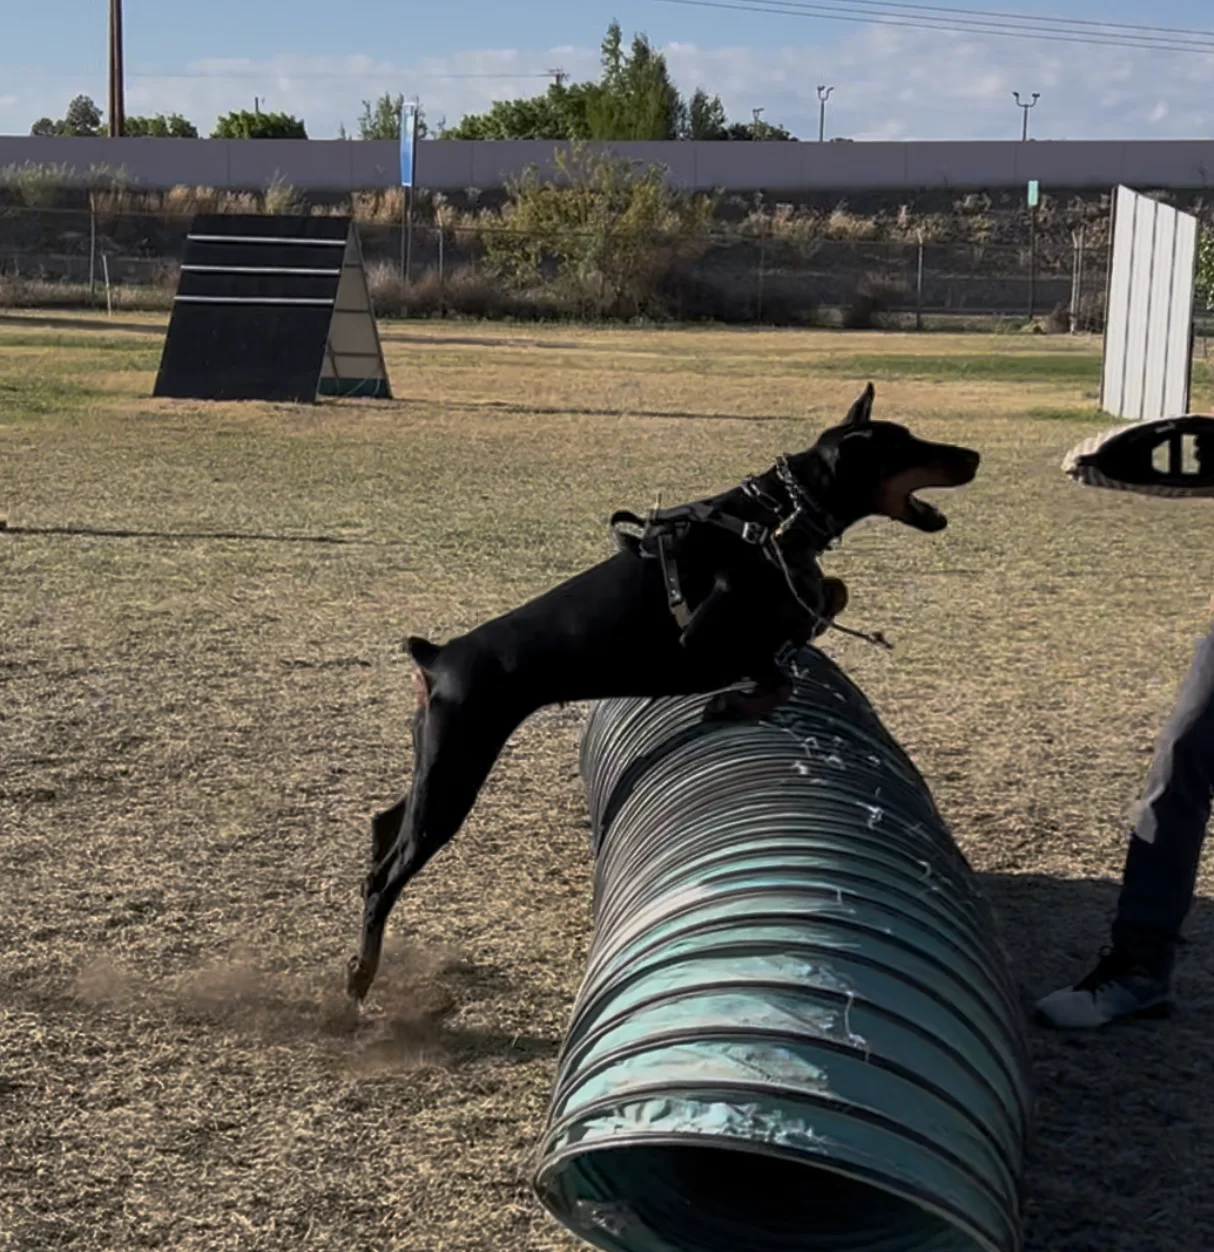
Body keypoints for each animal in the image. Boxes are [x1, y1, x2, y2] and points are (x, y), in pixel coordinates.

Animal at [346, 383, 980, 1000]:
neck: (776, 515)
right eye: (907, 445)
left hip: (437, 764)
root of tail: (434, 658)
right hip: (454, 774)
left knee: (384, 825)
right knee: (384, 877)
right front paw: (730, 699)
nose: (973, 456)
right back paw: (360, 977)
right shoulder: (701, 640)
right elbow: (785, 649)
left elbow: (825, 597)